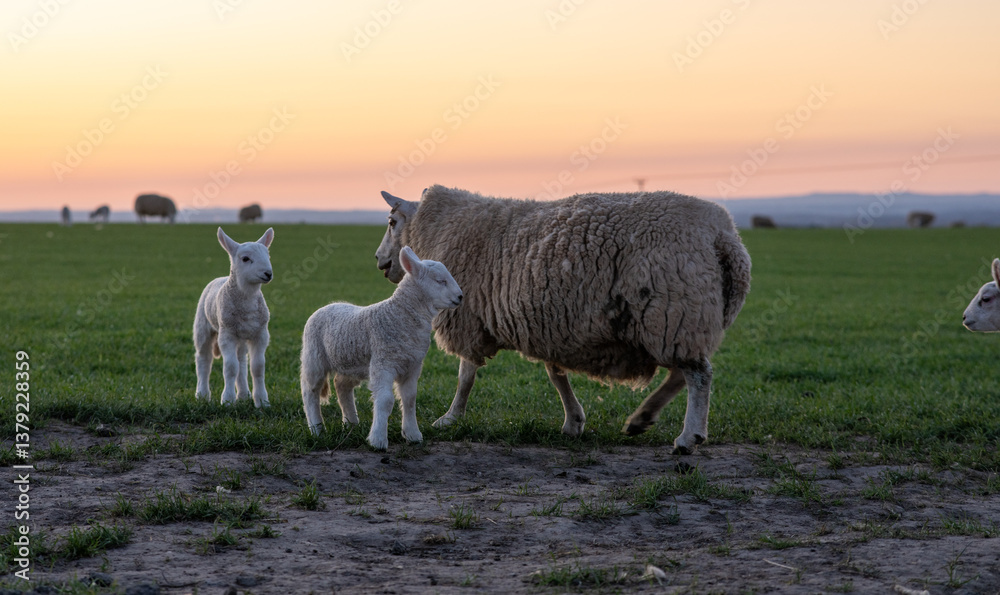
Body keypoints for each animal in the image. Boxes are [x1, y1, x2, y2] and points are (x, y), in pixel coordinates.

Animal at [194, 227, 274, 407]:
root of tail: (220, 277)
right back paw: (202, 394)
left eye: (268, 256)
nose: (268, 273)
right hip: (202, 325)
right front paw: (228, 400)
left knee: (242, 362)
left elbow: (257, 367)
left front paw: (262, 401)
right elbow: (230, 367)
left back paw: (244, 394)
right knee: (204, 359)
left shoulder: (261, 333)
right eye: (245, 259)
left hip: (242, 336)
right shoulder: (227, 333)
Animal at [301, 246, 463, 450]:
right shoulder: (383, 362)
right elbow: (385, 400)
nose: (460, 296)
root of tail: (327, 306)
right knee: (310, 391)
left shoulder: (412, 365)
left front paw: (413, 435)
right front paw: (378, 439)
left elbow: (410, 399)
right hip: (313, 356)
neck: (401, 315)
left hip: (352, 363)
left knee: (341, 385)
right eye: (440, 280)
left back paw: (351, 423)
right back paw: (317, 429)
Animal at [375, 185, 751, 455]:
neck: (438, 227)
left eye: (392, 222)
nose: (380, 263)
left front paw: (450, 417)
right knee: (681, 373)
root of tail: (725, 236)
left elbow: (466, 375)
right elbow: (555, 375)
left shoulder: (470, 316)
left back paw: (689, 437)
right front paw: (574, 421)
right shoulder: (547, 323)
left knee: (698, 376)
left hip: (674, 313)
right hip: (679, 321)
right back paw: (642, 419)